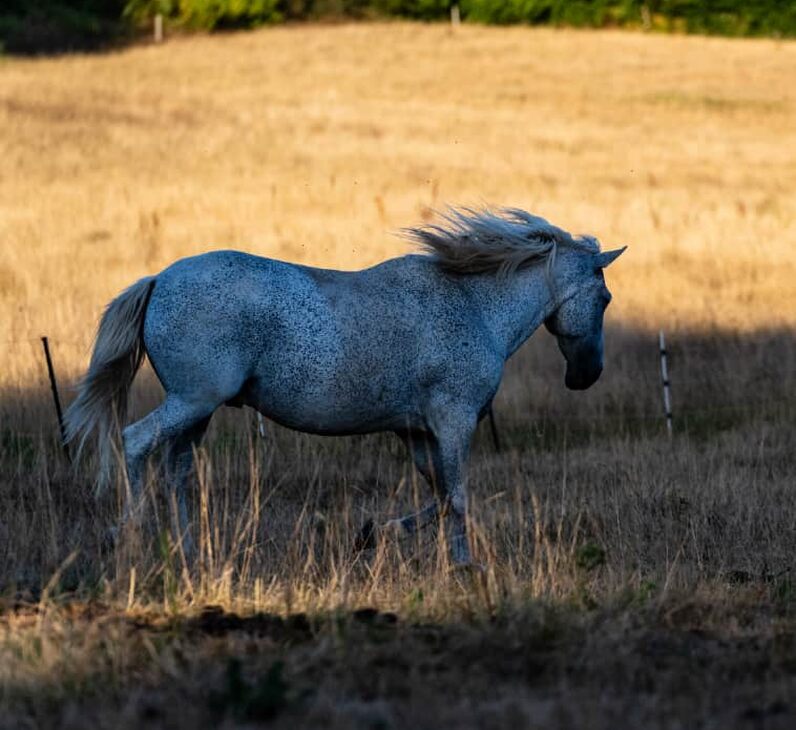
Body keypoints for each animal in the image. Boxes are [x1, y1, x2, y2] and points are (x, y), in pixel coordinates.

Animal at [64, 207, 625, 566]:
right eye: (605, 298)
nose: (587, 375)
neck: (474, 307)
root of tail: (159, 279)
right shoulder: (454, 422)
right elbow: (458, 497)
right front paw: (463, 567)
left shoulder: (416, 432)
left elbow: (441, 497)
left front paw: (375, 534)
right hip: (192, 401)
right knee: (135, 443)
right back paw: (127, 537)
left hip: (196, 412)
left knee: (176, 471)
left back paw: (189, 553)